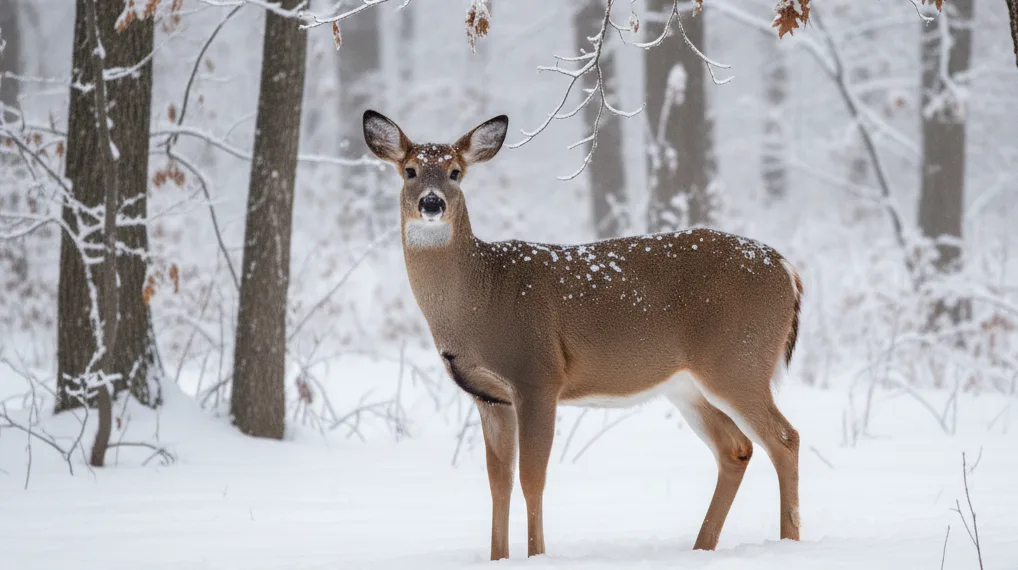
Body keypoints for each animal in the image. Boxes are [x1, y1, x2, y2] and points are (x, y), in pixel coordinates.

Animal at [362, 110, 804, 560]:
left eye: (455, 172)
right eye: (409, 171)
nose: (431, 203)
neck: (481, 298)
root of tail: (787, 269)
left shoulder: (537, 375)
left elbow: (532, 478)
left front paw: (537, 556)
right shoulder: (489, 396)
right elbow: (498, 483)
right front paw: (498, 558)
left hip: (738, 360)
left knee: (785, 438)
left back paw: (788, 542)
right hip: (688, 385)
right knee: (736, 448)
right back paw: (701, 548)